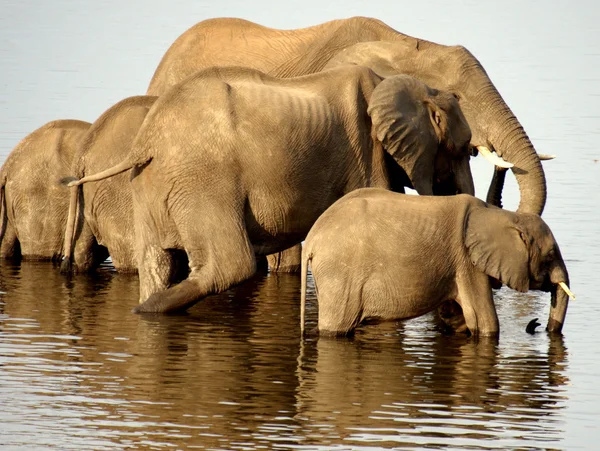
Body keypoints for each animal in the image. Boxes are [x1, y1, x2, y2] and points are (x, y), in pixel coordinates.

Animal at [69, 66, 474, 314]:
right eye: (464, 149)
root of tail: (146, 141)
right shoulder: (368, 155)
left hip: (156, 183)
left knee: (157, 263)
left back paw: (145, 308)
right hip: (204, 179)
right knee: (232, 266)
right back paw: (147, 311)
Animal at [300, 188, 572, 340]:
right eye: (549, 254)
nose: (536, 325)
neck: (500, 215)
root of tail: (311, 240)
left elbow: (460, 320)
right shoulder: (467, 262)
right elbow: (486, 323)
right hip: (340, 274)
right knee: (337, 328)